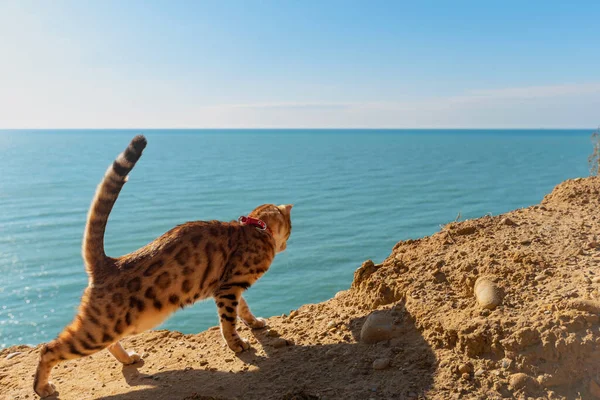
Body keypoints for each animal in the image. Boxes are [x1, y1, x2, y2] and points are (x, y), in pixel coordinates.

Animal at [33, 134, 292, 396]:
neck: (256, 227)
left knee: (107, 344)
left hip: (119, 325)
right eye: (290, 230)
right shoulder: (229, 288)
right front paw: (237, 344)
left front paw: (255, 323)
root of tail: (109, 263)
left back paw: (127, 359)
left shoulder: (227, 287)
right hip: (101, 329)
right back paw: (42, 387)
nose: (287, 244)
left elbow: (244, 308)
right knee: (49, 349)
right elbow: (228, 321)